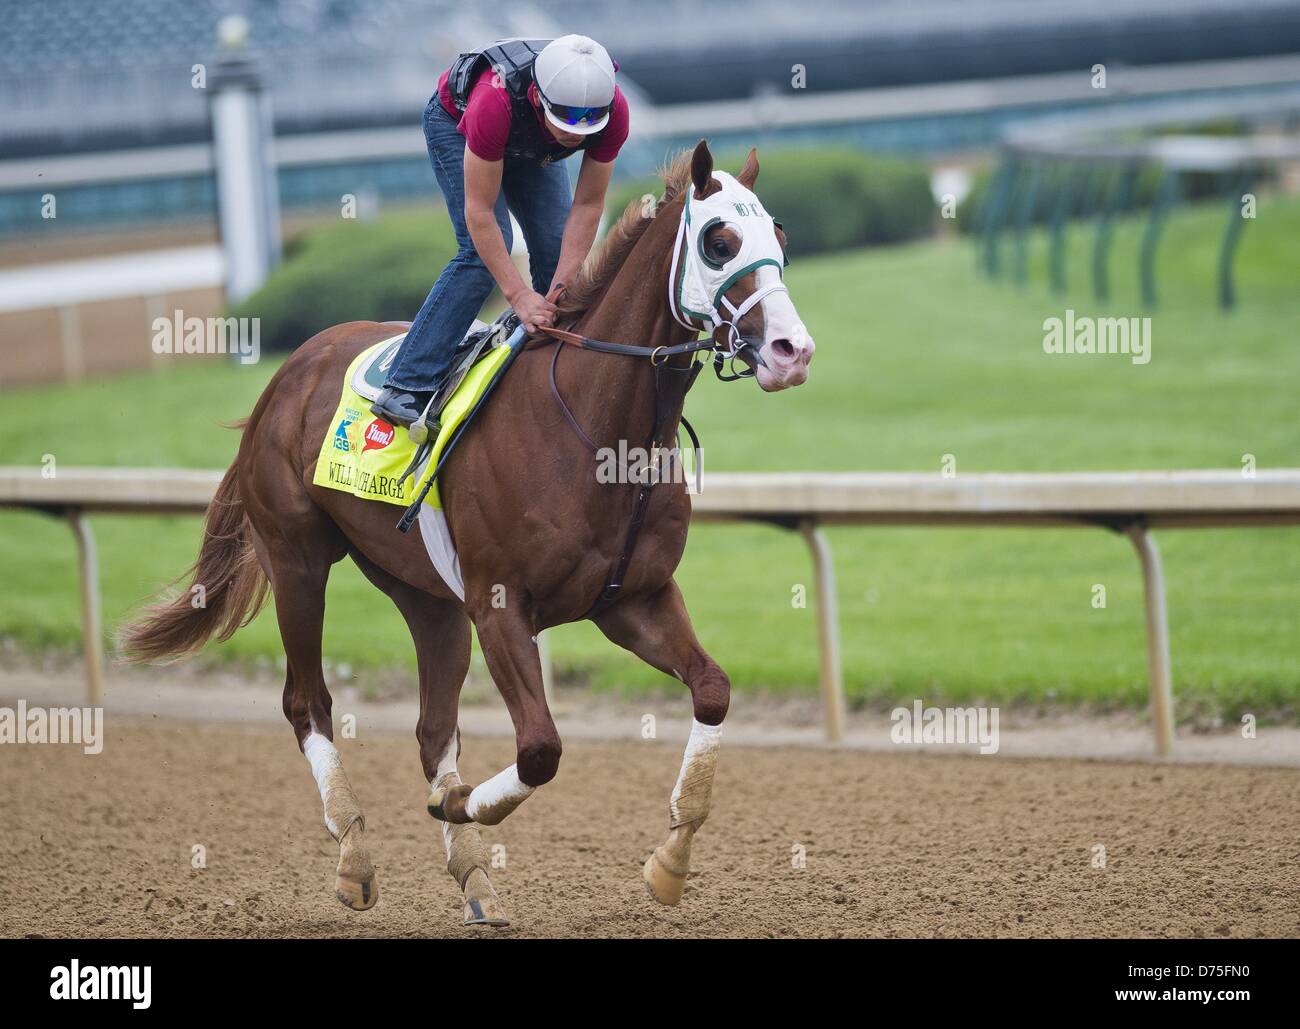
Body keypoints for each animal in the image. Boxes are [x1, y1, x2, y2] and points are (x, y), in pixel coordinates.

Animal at [122, 140, 811, 930]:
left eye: (780, 235)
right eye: (718, 240)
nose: (792, 350)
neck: (596, 426)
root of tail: (288, 371)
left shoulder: (633, 598)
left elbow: (713, 690)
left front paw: (669, 862)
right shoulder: (499, 604)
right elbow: (540, 747)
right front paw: (457, 803)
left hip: (428, 599)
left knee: (432, 725)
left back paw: (475, 878)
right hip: (297, 558)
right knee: (308, 702)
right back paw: (355, 857)